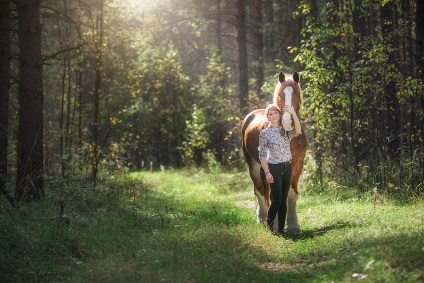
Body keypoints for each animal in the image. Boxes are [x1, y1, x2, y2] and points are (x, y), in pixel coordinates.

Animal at [242, 71, 308, 235]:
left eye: (297, 94)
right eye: (280, 94)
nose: (287, 122)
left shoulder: (297, 165)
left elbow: (291, 193)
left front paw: (293, 225)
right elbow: (274, 195)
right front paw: (277, 224)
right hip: (253, 165)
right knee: (259, 189)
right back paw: (262, 218)